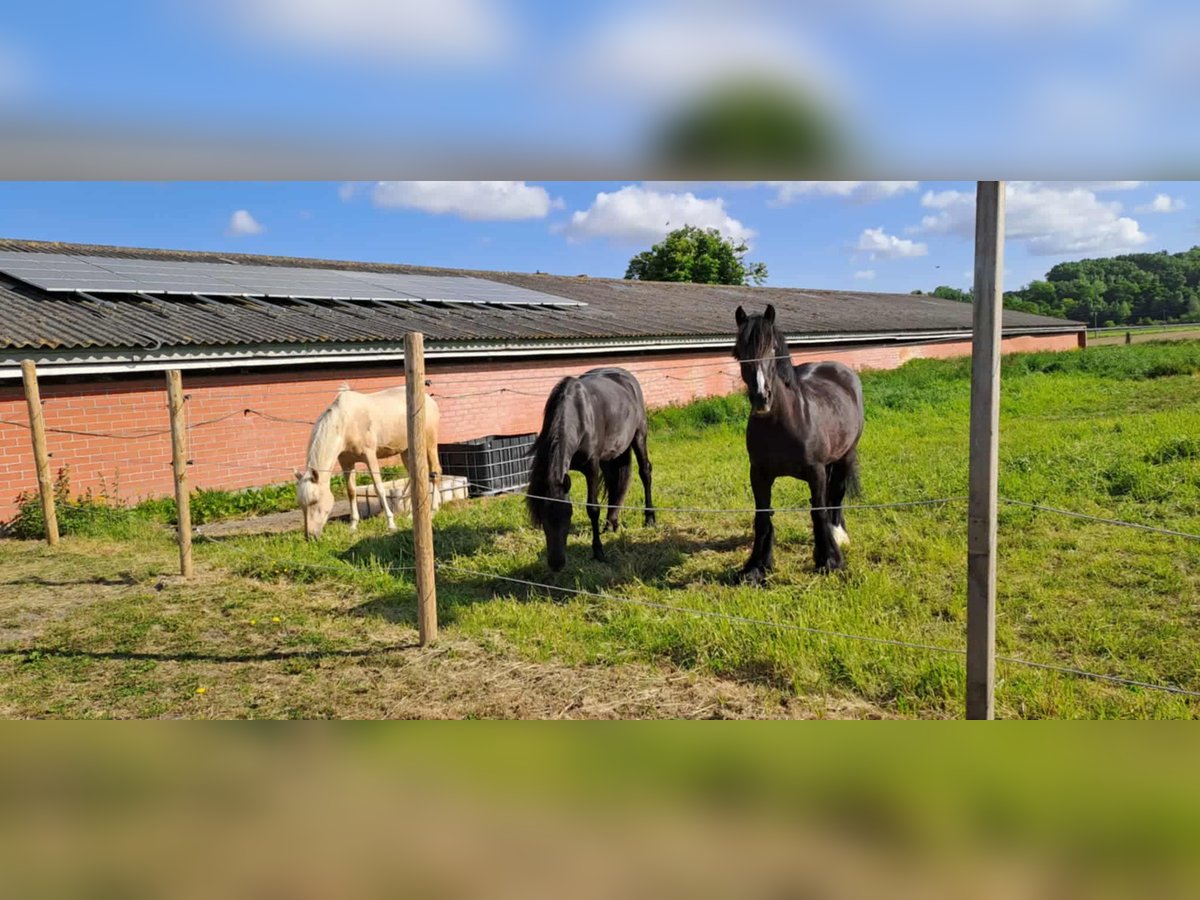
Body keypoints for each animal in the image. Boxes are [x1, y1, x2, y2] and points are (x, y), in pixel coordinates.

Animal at [295, 385, 441, 540]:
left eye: (314, 501)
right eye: (301, 504)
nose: (310, 536)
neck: (345, 423)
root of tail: (429, 399)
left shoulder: (370, 456)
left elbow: (379, 488)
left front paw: (391, 524)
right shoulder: (346, 462)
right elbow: (351, 491)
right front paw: (353, 526)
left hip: (429, 443)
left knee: (435, 472)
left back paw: (433, 510)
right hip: (406, 451)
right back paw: (409, 512)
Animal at [526, 367, 656, 572]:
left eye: (568, 514)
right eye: (543, 518)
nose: (556, 564)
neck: (578, 416)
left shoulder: (592, 468)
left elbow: (592, 508)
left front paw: (598, 551)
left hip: (639, 436)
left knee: (645, 473)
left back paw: (650, 518)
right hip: (611, 455)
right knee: (614, 483)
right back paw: (611, 524)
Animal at [732, 304, 864, 581]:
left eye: (773, 348)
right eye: (739, 352)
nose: (762, 397)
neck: (783, 424)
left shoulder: (816, 472)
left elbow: (818, 511)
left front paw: (829, 560)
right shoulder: (758, 474)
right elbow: (762, 517)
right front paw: (756, 568)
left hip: (845, 456)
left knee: (837, 494)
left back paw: (839, 535)